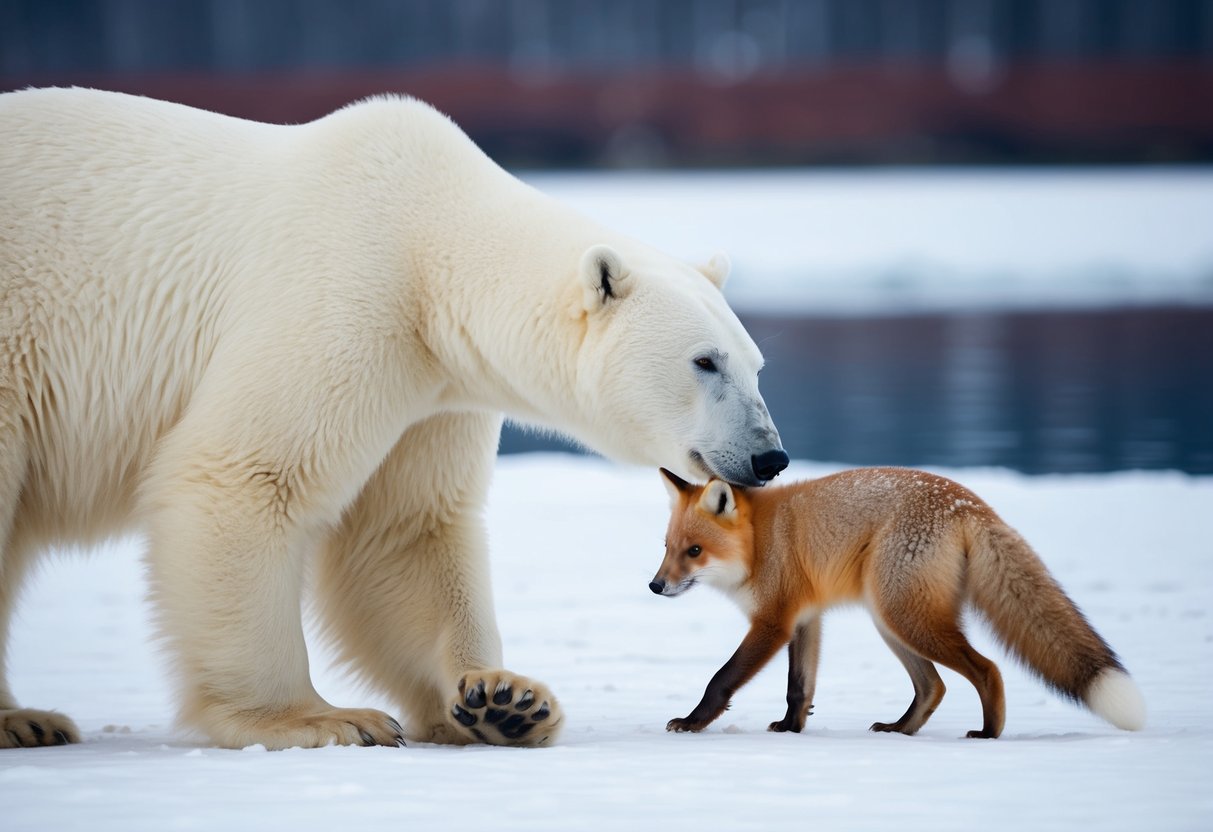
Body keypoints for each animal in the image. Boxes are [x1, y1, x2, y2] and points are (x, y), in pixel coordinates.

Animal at [0, 87, 788, 749]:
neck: (426, 242)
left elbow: (405, 529)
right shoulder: (341, 296)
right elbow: (249, 475)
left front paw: (505, 700)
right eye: (704, 362)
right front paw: (319, 718)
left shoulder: (432, 386)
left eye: (755, 364)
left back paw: (28, 720)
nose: (768, 456)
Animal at [650, 466, 1146, 739]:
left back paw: (988, 734)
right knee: (934, 687)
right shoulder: (806, 619)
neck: (759, 543)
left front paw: (692, 723)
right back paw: (900, 731)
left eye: (695, 551)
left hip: (902, 616)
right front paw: (792, 730)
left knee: (987, 669)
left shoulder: (773, 622)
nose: (655, 586)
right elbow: (799, 688)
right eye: (667, 547)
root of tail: (970, 502)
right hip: (891, 620)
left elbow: (721, 679)